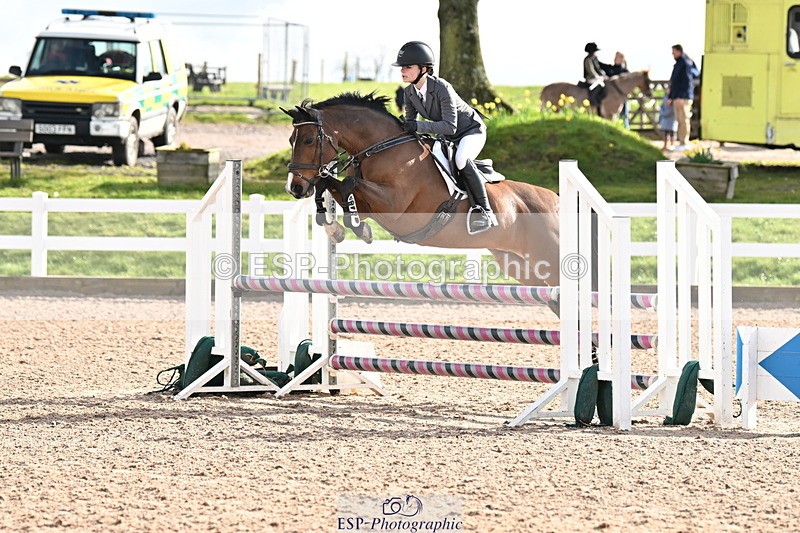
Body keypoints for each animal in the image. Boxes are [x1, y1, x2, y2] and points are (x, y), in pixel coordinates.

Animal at [281, 92, 561, 288]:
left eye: (308, 140)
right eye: (291, 140)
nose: (295, 187)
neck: (379, 148)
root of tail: (556, 201)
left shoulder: (393, 205)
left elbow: (348, 186)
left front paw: (358, 228)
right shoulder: (369, 206)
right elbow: (328, 184)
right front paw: (336, 228)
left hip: (547, 255)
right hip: (518, 263)